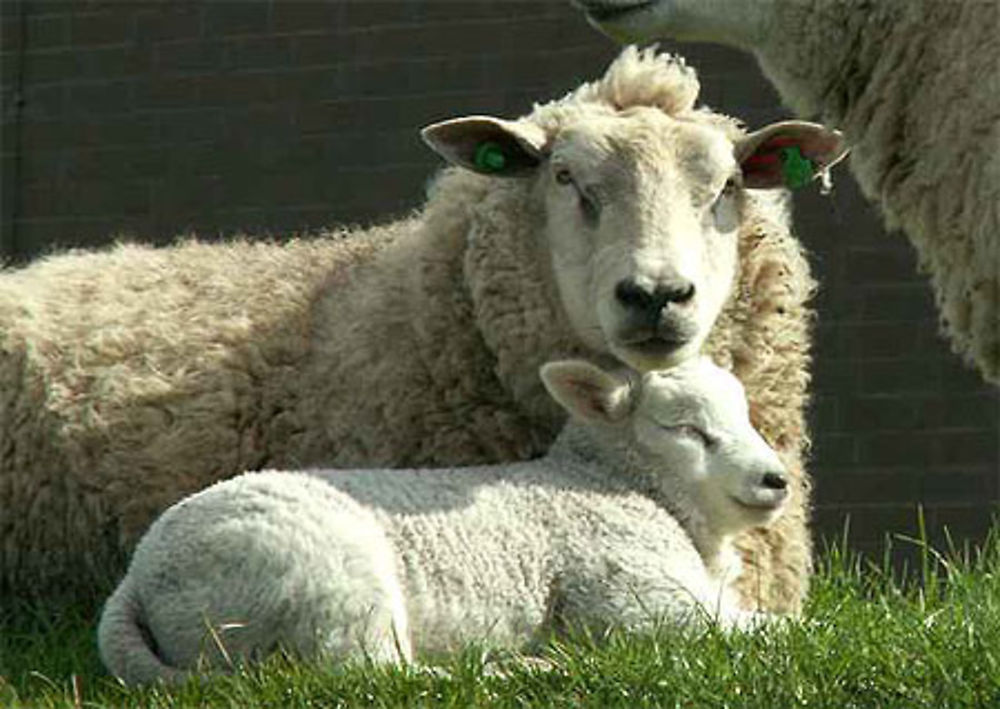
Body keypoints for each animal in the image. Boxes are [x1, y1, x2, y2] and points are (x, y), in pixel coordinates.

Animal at [97, 356, 792, 684]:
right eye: (685, 428)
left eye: (745, 413)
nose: (775, 479)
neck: (616, 482)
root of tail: (137, 577)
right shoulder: (631, 593)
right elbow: (770, 630)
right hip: (326, 582)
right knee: (373, 677)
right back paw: (521, 670)